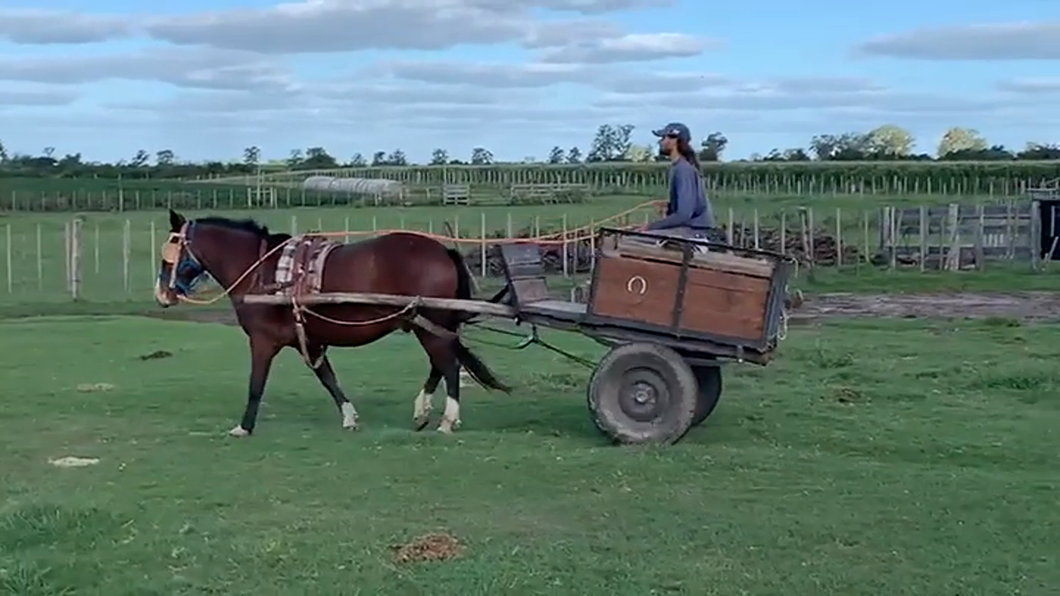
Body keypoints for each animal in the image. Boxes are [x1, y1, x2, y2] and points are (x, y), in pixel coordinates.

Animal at [152, 208, 508, 436]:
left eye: (169, 255)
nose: (161, 294)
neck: (262, 271)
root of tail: (442, 250)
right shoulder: (307, 340)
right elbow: (327, 377)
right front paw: (349, 417)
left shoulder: (263, 341)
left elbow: (256, 384)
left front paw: (244, 426)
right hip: (426, 322)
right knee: (442, 362)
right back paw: (423, 409)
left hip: (428, 324)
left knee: (447, 365)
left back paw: (447, 418)